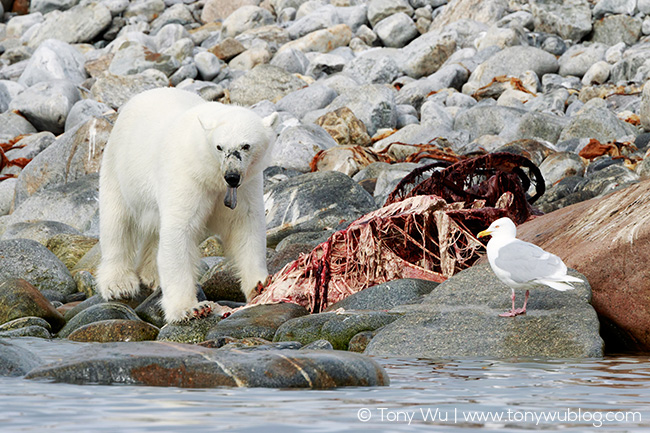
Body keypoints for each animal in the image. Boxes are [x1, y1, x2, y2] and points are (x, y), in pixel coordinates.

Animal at [96, 88, 276, 320]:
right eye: (219, 147)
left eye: (246, 146)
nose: (232, 176)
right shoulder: (187, 177)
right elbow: (179, 231)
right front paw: (189, 308)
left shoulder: (245, 186)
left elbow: (245, 226)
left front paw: (259, 285)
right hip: (118, 168)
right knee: (117, 223)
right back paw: (118, 283)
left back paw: (151, 274)